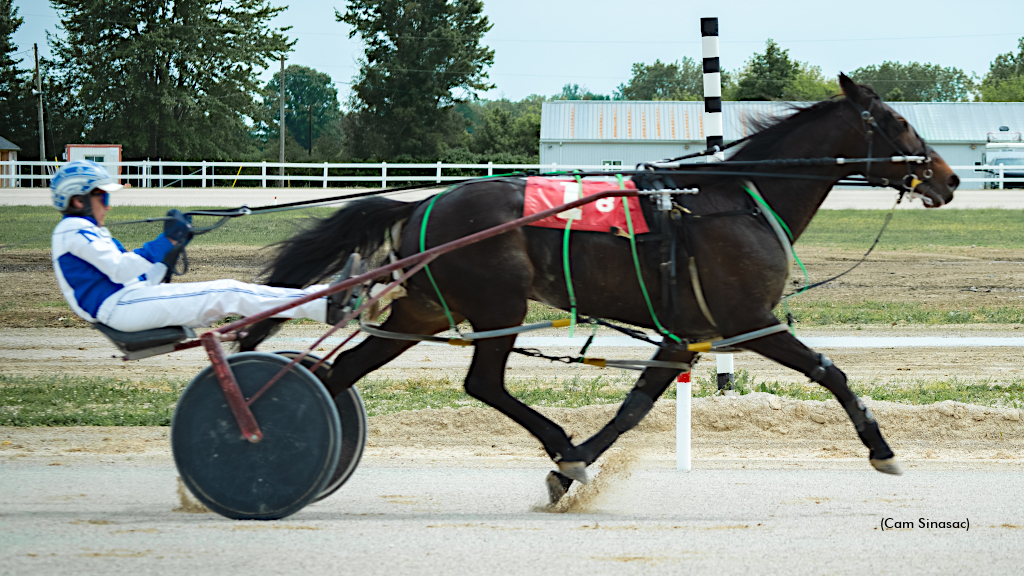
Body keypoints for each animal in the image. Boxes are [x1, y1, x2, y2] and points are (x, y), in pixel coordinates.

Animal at [247, 73, 958, 500]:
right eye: (897, 122)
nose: (948, 178)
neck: (738, 202)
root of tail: (423, 204)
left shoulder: (684, 334)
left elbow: (633, 407)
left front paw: (573, 469)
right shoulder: (750, 319)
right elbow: (832, 373)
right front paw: (882, 449)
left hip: (422, 312)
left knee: (340, 375)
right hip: (498, 304)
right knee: (482, 384)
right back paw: (558, 441)